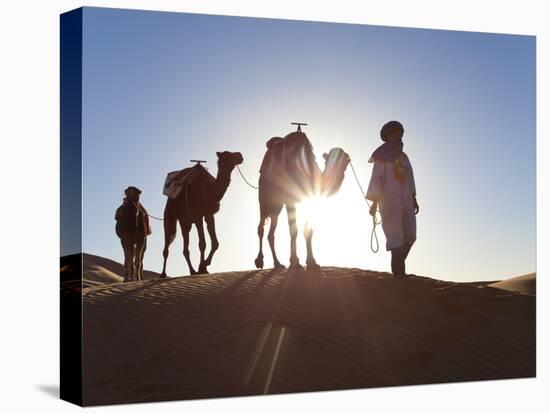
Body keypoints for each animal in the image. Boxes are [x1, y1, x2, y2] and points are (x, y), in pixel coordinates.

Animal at [254, 130, 350, 272]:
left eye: (345, 160)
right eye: (330, 158)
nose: (339, 169)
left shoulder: (311, 199)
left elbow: (308, 231)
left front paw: (311, 262)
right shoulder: (290, 200)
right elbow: (294, 231)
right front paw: (295, 262)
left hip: (277, 206)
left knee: (271, 234)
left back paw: (277, 263)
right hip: (265, 200)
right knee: (261, 228)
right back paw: (259, 261)